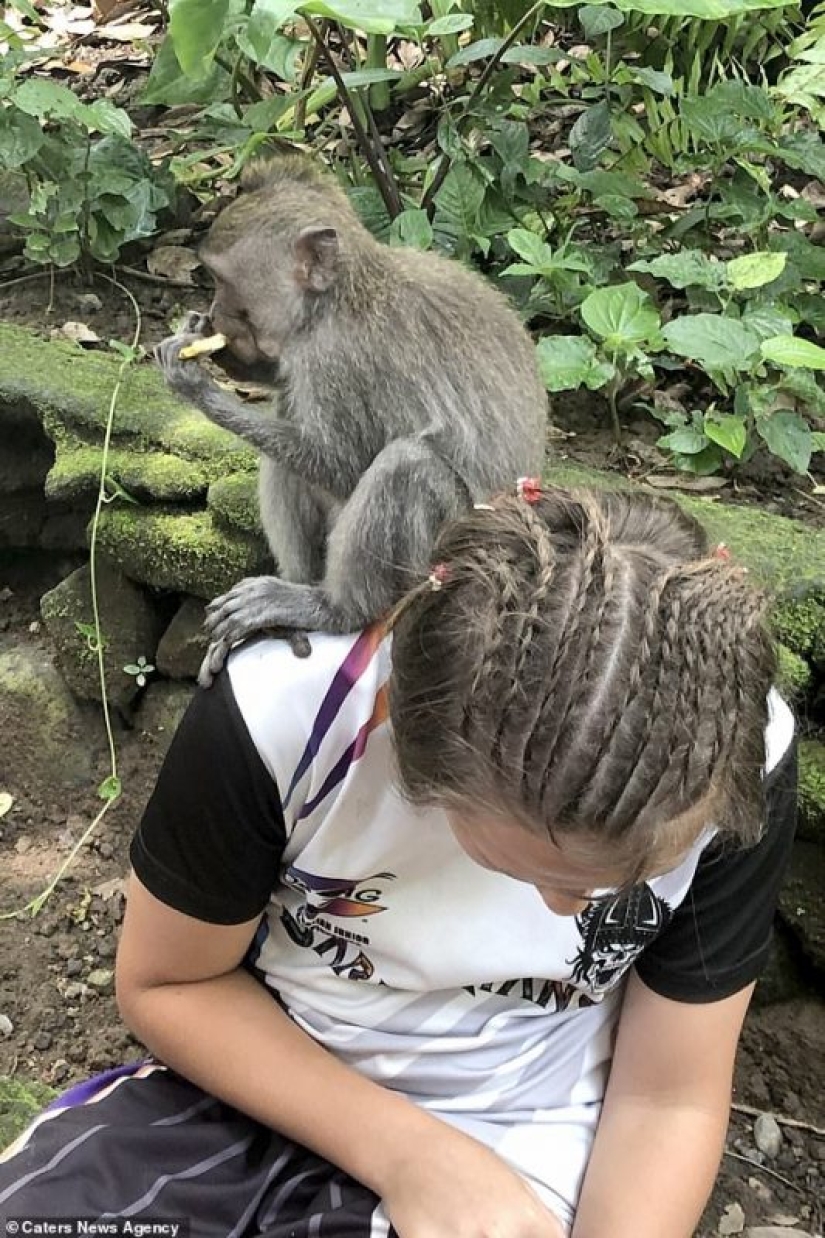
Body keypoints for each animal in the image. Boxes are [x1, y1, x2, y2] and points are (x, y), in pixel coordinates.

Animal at [155, 154, 548, 687]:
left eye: (223, 281)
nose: (214, 312)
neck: (334, 300)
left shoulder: (335, 361)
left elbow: (345, 467)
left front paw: (197, 384)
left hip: (445, 568)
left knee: (407, 465)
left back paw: (336, 608)